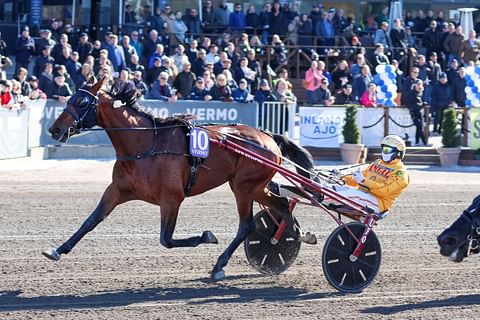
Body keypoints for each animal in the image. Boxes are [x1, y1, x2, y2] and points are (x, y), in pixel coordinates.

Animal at [44, 78, 316, 280]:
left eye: (81, 102)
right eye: (69, 98)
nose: (54, 129)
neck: (147, 144)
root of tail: (268, 135)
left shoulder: (171, 198)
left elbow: (166, 239)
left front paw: (206, 236)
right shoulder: (117, 190)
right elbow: (90, 221)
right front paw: (57, 249)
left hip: (243, 187)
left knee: (247, 226)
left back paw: (220, 265)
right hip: (255, 187)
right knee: (282, 204)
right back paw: (293, 236)